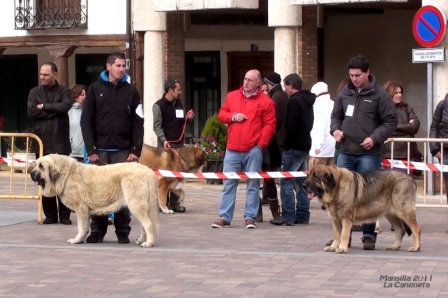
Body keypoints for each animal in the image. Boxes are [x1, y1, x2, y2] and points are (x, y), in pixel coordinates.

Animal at [29, 155, 160, 248]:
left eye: (41, 166)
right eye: (35, 165)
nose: (31, 173)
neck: (65, 174)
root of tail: (149, 172)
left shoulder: (80, 209)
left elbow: (81, 227)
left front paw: (76, 240)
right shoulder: (85, 211)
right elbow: (85, 228)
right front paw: (81, 240)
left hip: (135, 204)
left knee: (148, 224)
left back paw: (149, 243)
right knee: (144, 225)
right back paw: (142, 240)